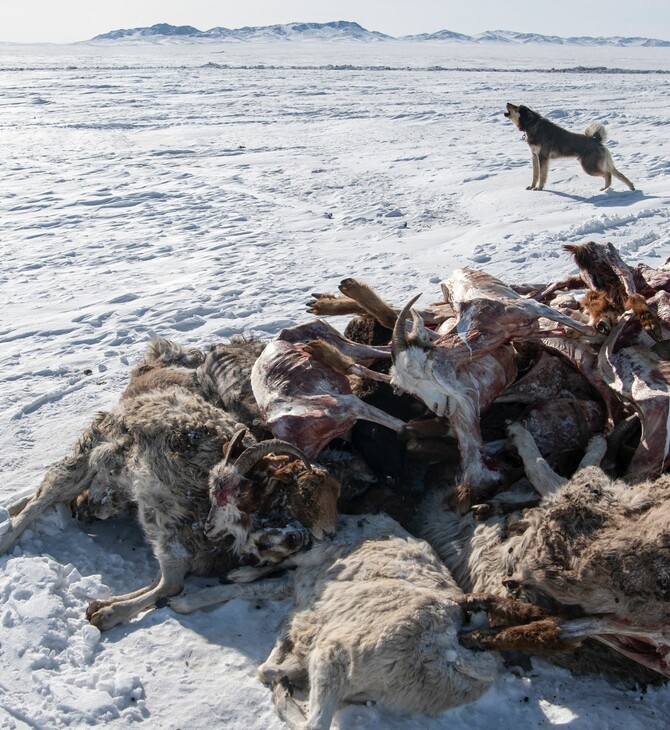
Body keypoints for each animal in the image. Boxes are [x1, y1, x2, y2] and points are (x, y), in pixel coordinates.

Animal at [506, 104, 636, 193]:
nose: (507, 103)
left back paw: (604, 189)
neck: (532, 125)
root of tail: (596, 140)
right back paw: (631, 188)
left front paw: (539, 188)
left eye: (517, 108)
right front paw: (532, 187)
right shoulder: (534, 156)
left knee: (608, 175)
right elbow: (535, 175)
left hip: (589, 167)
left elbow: (542, 176)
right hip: (604, 164)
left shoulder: (543, 157)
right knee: (620, 175)